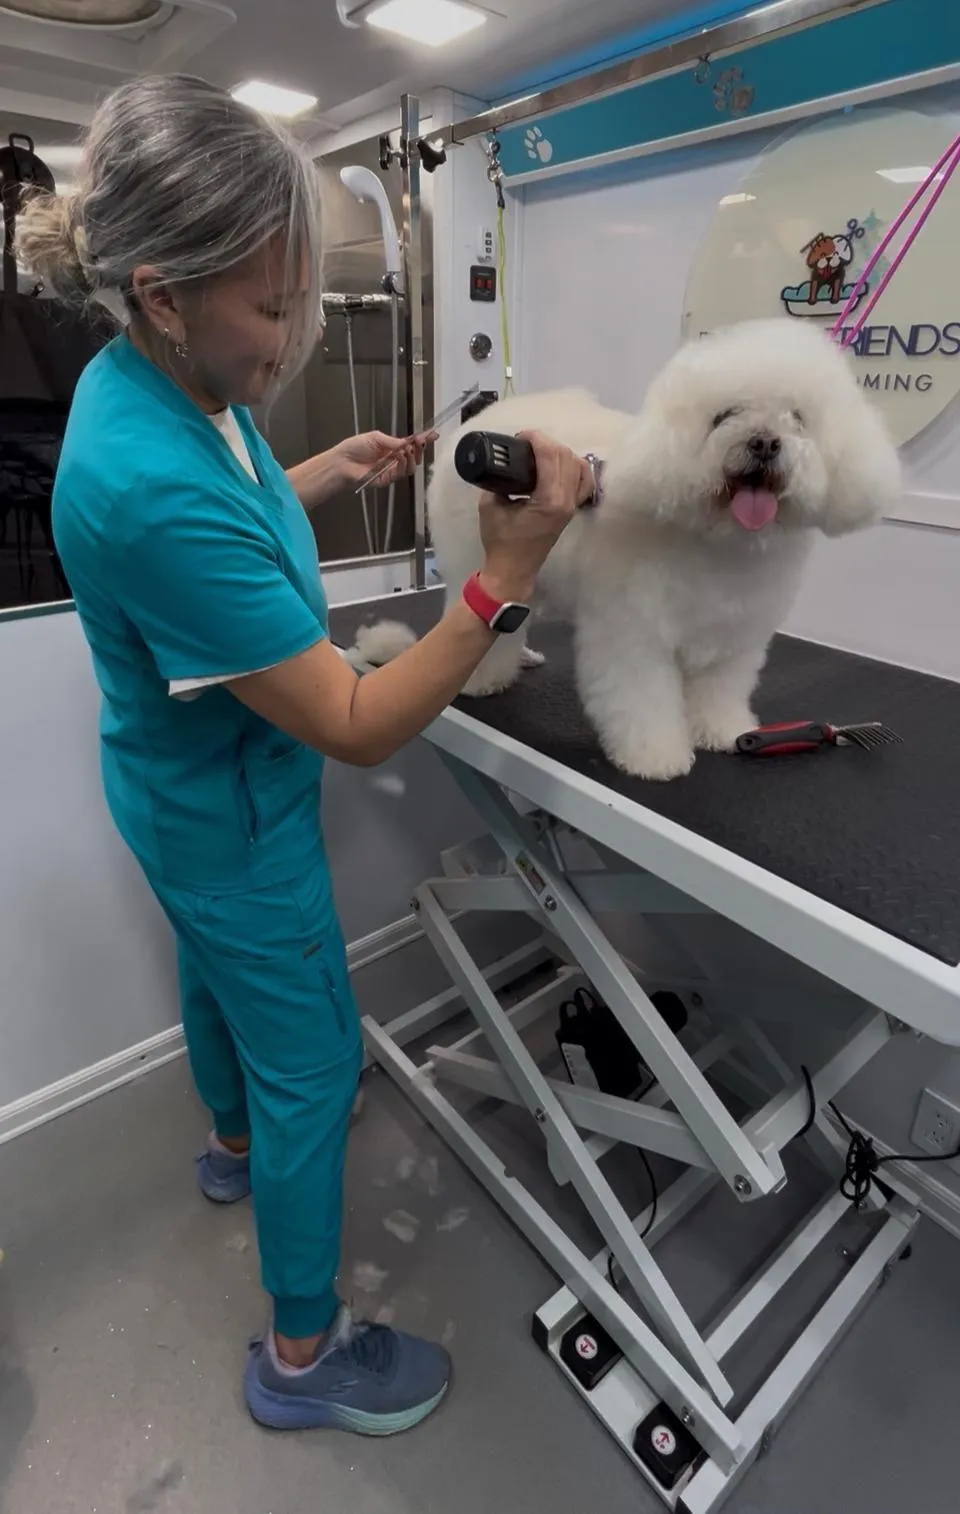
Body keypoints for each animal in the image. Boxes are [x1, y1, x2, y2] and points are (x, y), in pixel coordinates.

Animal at [353, 318, 901, 780]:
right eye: (724, 415)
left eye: (798, 418)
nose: (764, 442)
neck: (717, 540)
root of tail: (481, 420)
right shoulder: (635, 635)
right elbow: (642, 700)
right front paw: (655, 757)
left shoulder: (734, 637)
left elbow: (719, 691)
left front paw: (723, 732)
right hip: (477, 556)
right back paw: (484, 677)